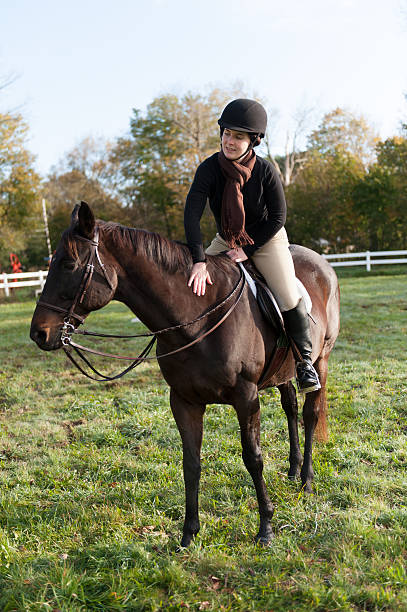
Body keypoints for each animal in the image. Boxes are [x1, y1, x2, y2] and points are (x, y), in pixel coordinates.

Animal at [30, 202, 340, 548]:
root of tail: (322, 264)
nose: (39, 333)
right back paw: (293, 469)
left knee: (310, 413)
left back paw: (307, 480)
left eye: (69, 263)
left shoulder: (246, 397)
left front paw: (266, 527)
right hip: (281, 373)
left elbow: (253, 457)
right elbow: (190, 463)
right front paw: (189, 533)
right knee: (290, 408)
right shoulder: (183, 401)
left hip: (321, 360)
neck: (197, 319)